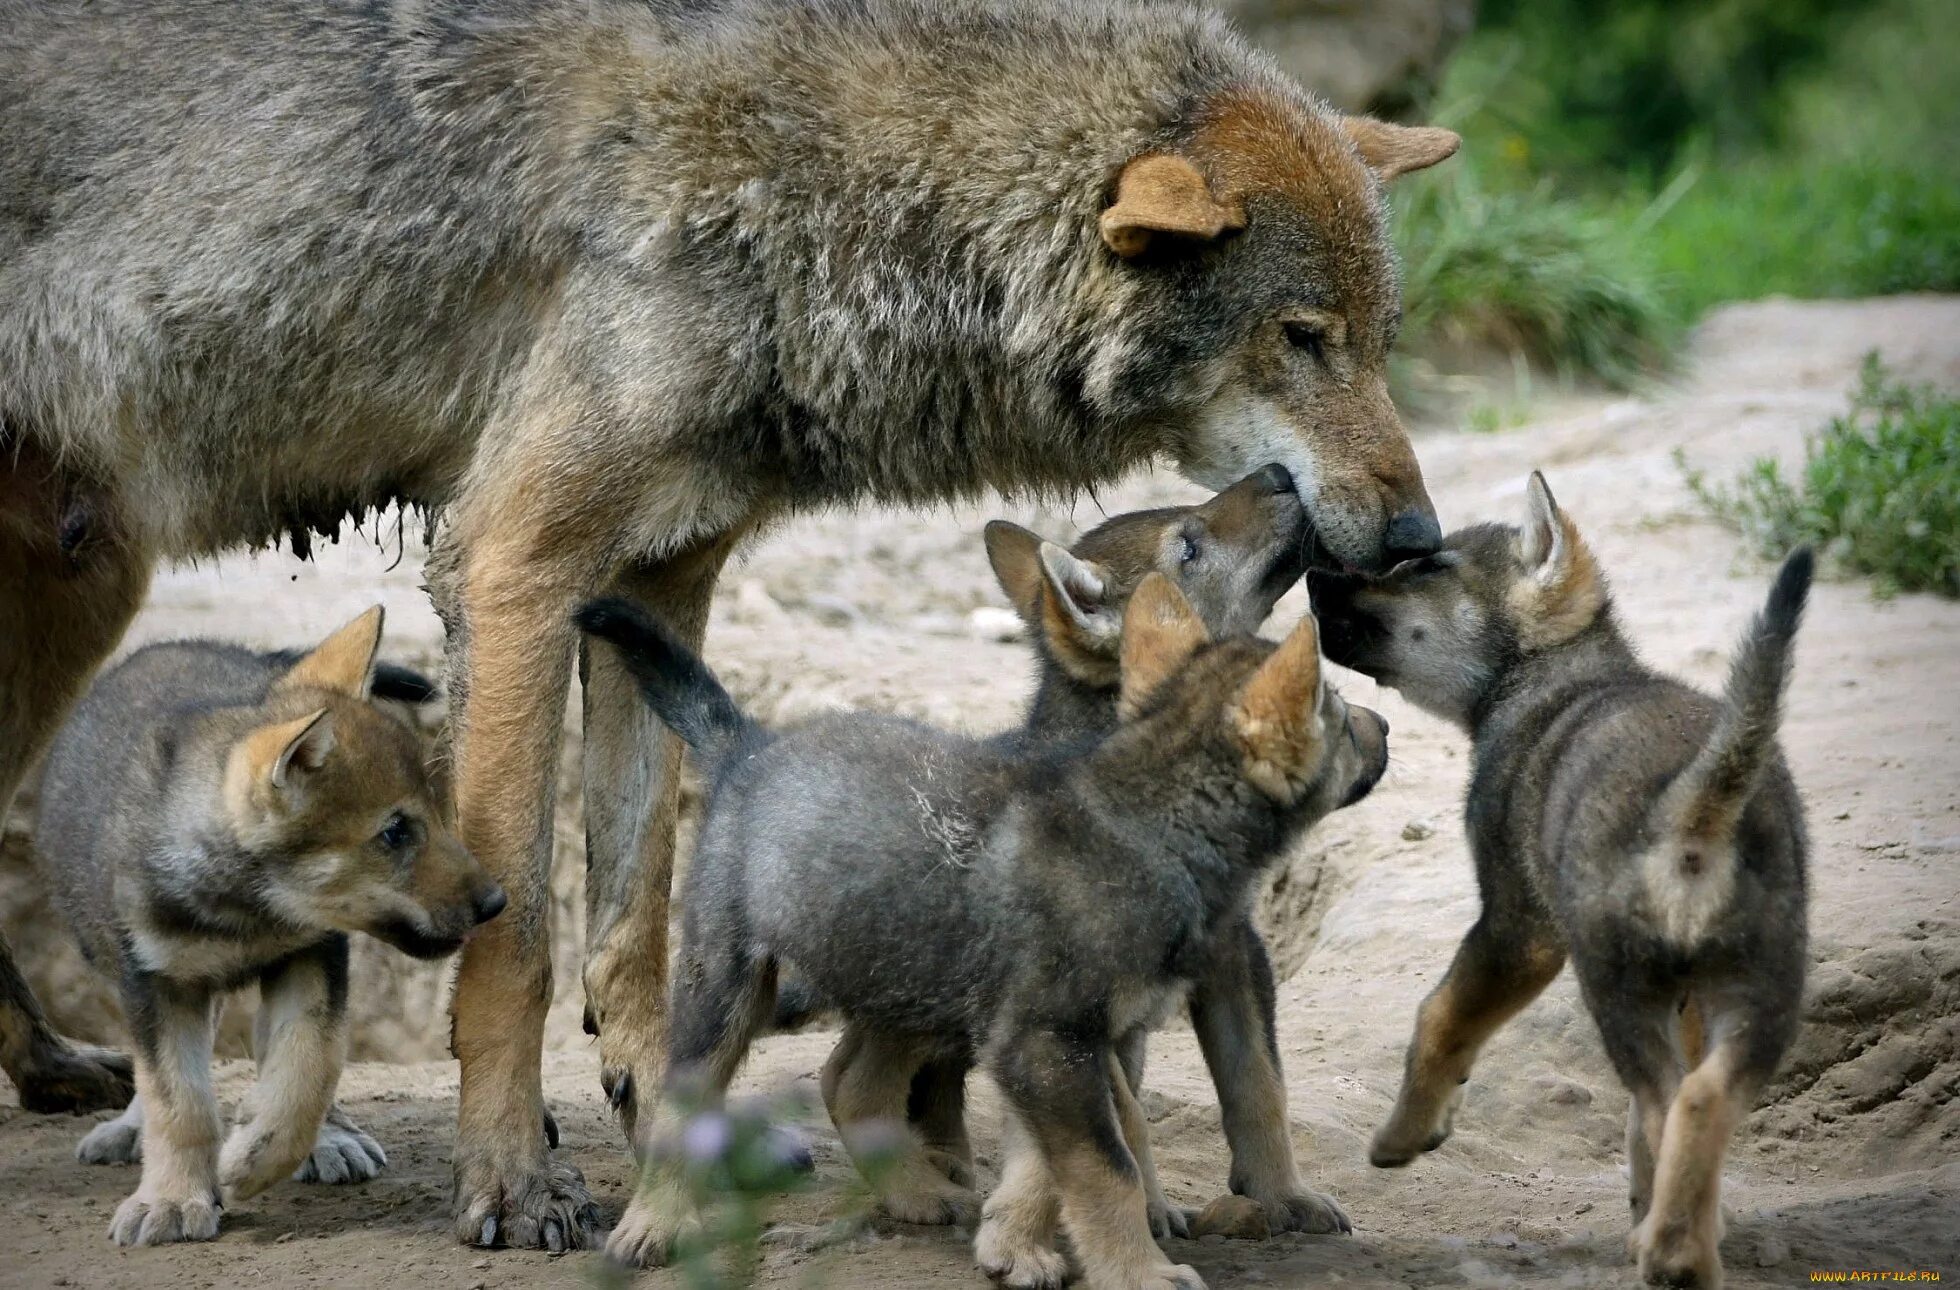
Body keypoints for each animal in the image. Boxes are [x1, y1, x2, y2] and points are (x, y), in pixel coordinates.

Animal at [36, 607, 505, 1239]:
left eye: (438, 813)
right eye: (395, 832)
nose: (496, 902)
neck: (248, 911)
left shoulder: (311, 955)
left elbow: (309, 1067)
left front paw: (258, 1159)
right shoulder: (157, 982)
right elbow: (177, 1101)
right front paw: (172, 1199)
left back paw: (327, 1138)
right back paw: (133, 1129)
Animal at [572, 576, 1387, 1278]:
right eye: (1341, 715)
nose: (1385, 724)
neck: (1151, 827)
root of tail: (750, 746)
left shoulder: (1070, 1040)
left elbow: (1063, 1157)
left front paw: (1013, 1244)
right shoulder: (1050, 1040)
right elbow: (1110, 1164)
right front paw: (1139, 1273)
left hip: (911, 982)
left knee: (853, 1084)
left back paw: (918, 1194)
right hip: (730, 984)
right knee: (685, 1106)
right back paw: (653, 1227)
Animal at [1309, 476, 1811, 1278]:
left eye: (1426, 569)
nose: (1311, 576)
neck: (1551, 679)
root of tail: (1701, 804)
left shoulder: (1518, 930)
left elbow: (1438, 1016)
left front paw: (1405, 1135)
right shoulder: (1686, 999)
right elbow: (1638, 1134)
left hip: (1617, 988)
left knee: (1672, 1102)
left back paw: (1669, 1256)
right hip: (1756, 992)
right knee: (1699, 1101)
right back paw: (1685, 1248)